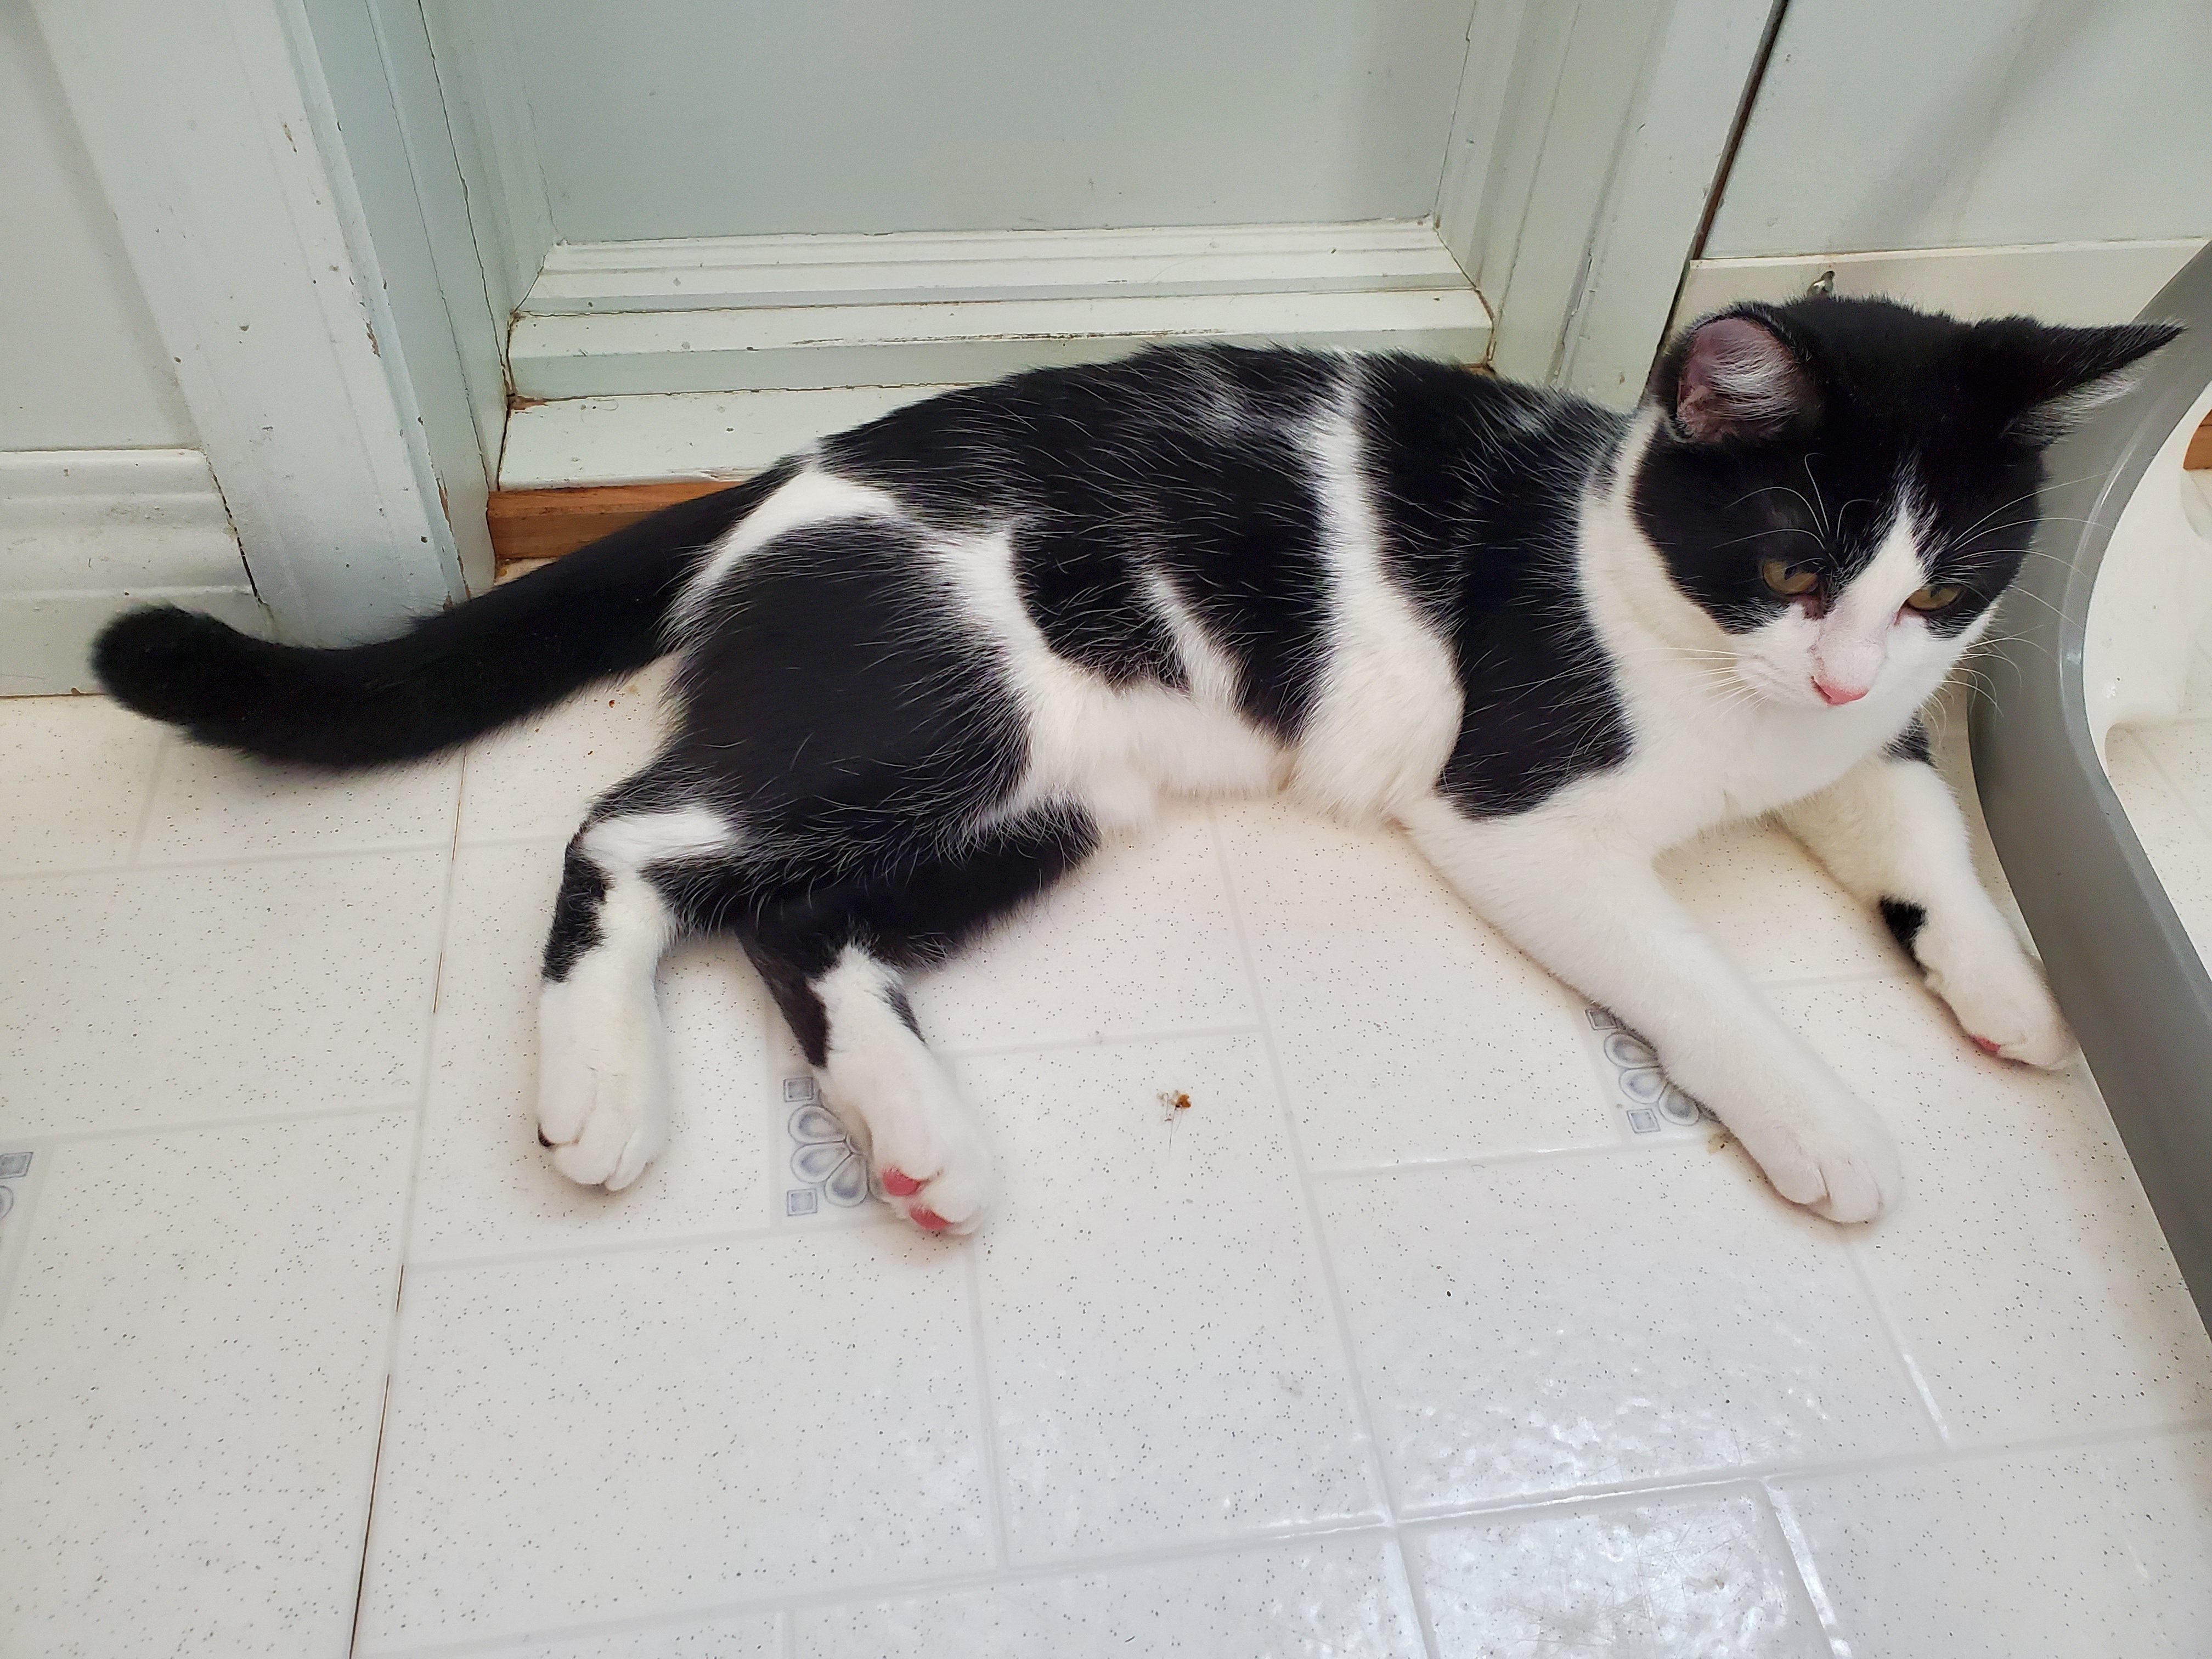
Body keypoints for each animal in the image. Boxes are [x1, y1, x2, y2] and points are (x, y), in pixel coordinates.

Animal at [91, 298, 2176, 1238]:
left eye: (1945, 588)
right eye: (1795, 566)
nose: (1839, 659)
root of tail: (787, 468)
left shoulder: (1857, 732)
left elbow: (1914, 813)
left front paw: (2018, 986)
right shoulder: (1520, 813)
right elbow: (1698, 973)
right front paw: (1822, 1117)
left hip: (1051, 794)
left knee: (796, 920)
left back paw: (918, 1134)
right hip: (947, 709)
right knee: (635, 828)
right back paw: (600, 1093)